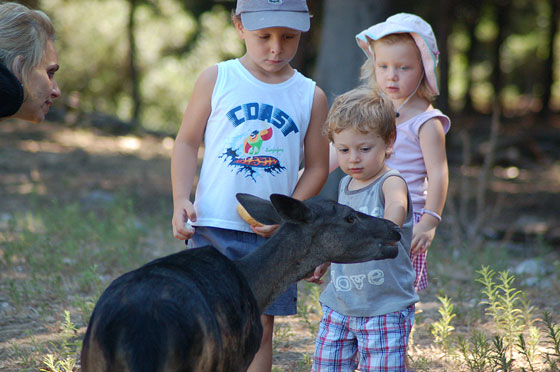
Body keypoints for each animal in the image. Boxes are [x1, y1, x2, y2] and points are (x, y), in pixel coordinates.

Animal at [80, 193, 402, 372]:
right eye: (349, 217)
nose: (394, 228)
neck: (254, 287)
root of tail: (137, 338)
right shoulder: (238, 358)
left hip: (92, 363)